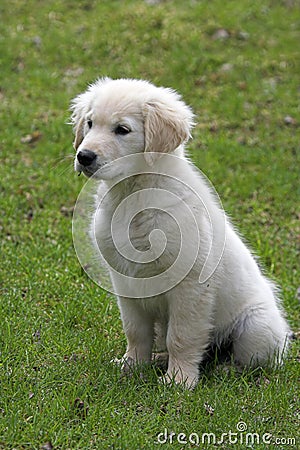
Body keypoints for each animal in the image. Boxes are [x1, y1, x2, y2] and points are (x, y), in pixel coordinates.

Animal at [71, 77, 290, 386]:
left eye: (122, 130)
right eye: (90, 123)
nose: (84, 156)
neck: (134, 193)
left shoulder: (190, 285)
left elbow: (182, 335)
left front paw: (179, 381)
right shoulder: (125, 283)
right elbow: (135, 331)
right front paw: (132, 366)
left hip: (257, 327)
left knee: (253, 361)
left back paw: (226, 369)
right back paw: (159, 359)